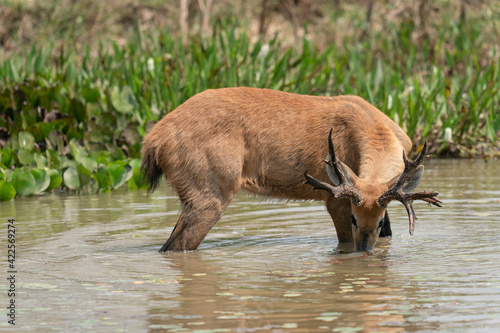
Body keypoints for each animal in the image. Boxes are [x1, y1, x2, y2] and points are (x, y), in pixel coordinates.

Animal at [142, 87, 442, 252]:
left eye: (378, 222)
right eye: (355, 219)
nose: (366, 253)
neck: (375, 130)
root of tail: (154, 141)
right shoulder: (336, 198)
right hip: (210, 191)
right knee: (176, 246)